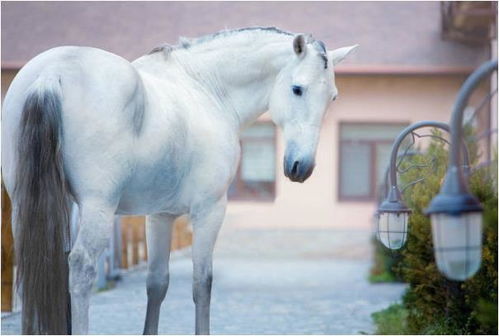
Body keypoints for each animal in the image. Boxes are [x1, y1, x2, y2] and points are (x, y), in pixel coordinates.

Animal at [1, 27, 358, 334]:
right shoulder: (209, 211)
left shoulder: (160, 215)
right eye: (297, 89)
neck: (207, 88)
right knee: (80, 268)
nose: (302, 166)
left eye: (333, 97)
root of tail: (52, 73)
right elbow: (203, 284)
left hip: (31, 204)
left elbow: (157, 283)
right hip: (97, 207)